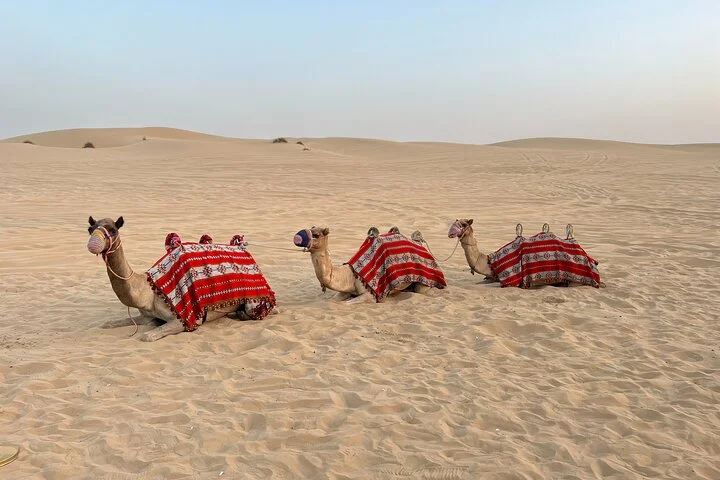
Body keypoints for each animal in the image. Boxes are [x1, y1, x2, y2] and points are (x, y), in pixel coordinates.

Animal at [87, 216, 276, 341]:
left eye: (113, 230)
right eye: (90, 229)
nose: (93, 243)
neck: (148, 291)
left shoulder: (182, 319)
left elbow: (146, 336)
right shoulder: (147, 315)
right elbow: (110, 323)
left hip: (255, 301)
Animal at [295, 226, 437, 303]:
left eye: (316, 234)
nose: (297, 237)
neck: (350, 275)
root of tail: (419, 241)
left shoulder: (370, 294)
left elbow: (346, 304)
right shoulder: (346, 291)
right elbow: (333, 301)